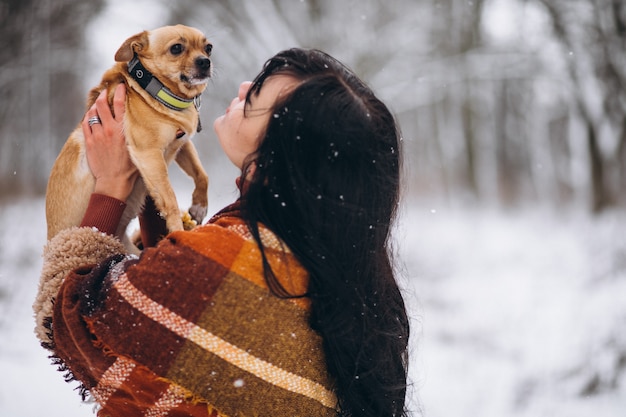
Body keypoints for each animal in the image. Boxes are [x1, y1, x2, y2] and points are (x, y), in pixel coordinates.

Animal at [45, 26, 212, 250]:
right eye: (176, 48)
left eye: (208, 48)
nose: (205, 61)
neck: (157, 90)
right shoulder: (149, 154)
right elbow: (170, 199)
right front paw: (178, 230)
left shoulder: (181, 144)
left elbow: (201, 174)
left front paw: (199, 206)